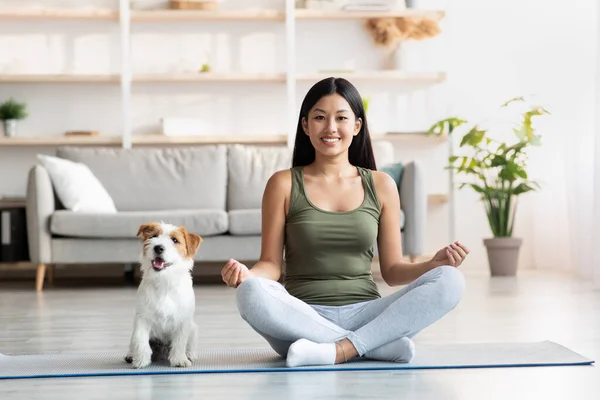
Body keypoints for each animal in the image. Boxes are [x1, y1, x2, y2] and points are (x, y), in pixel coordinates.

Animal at [125, 222, 203, 368]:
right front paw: (141, 360)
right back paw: (131, 355)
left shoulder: (182, 320)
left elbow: (180, 341)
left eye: (175, 240)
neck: (164, 281)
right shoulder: (142, 318)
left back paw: (189, 355)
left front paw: (179, 359)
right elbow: (140, 339)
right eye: (153, 236)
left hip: (193, 329)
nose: (158, 247)